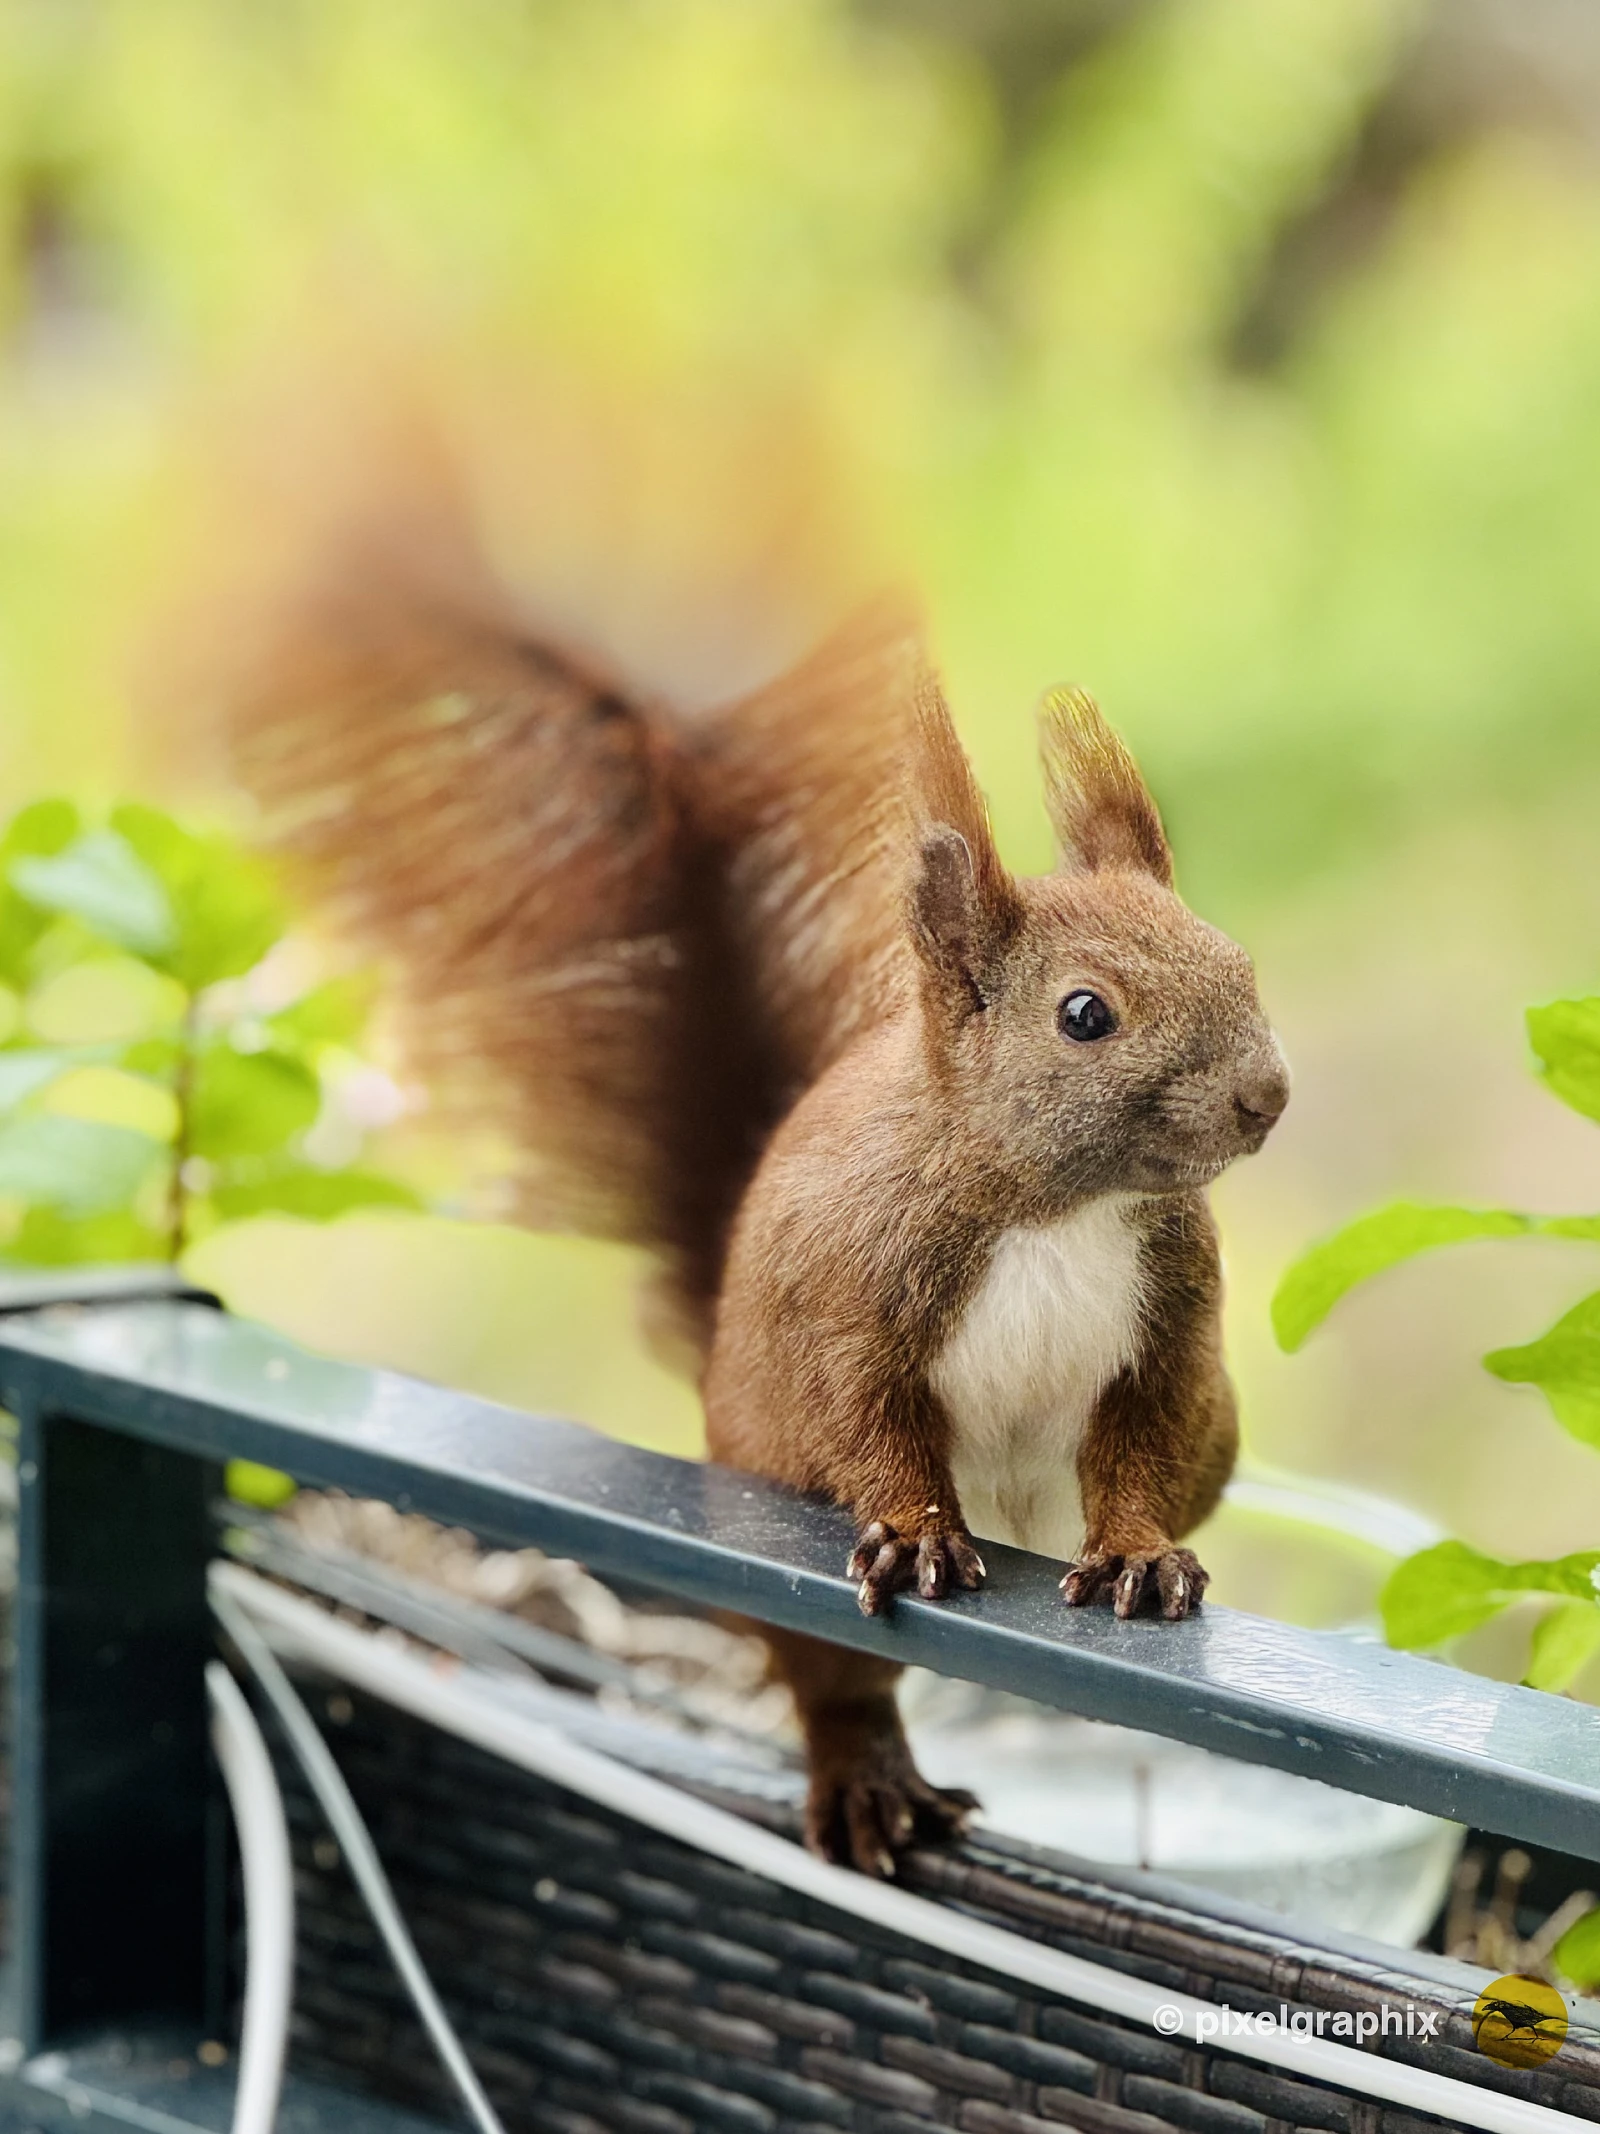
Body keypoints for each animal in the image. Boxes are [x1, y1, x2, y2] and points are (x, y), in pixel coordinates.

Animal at [226, 542, 1288, 1878]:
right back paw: (870, 1785)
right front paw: (915, 1530)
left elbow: (1142, 1440)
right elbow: (868, 1416)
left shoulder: (1167, 1323)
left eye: (1238, 960)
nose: (1266, 1095)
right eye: (1084, 1014)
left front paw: (1141, 1555)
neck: (1059, 1207)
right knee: (833, 1686)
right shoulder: (852, 1289)